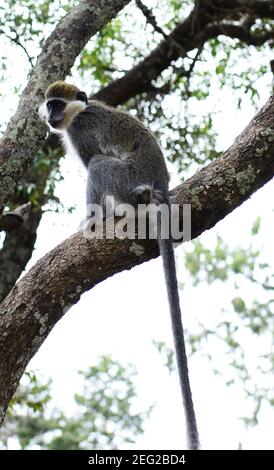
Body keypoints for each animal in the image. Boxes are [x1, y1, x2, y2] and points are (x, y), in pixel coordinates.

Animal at [39, 81, 200, 452]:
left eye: (57, 104)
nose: (50, 116)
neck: (80, 111)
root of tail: (159, 186)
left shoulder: (81, 133)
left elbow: (92, 162)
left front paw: (90, 218)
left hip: (124, 179)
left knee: (99, 165)